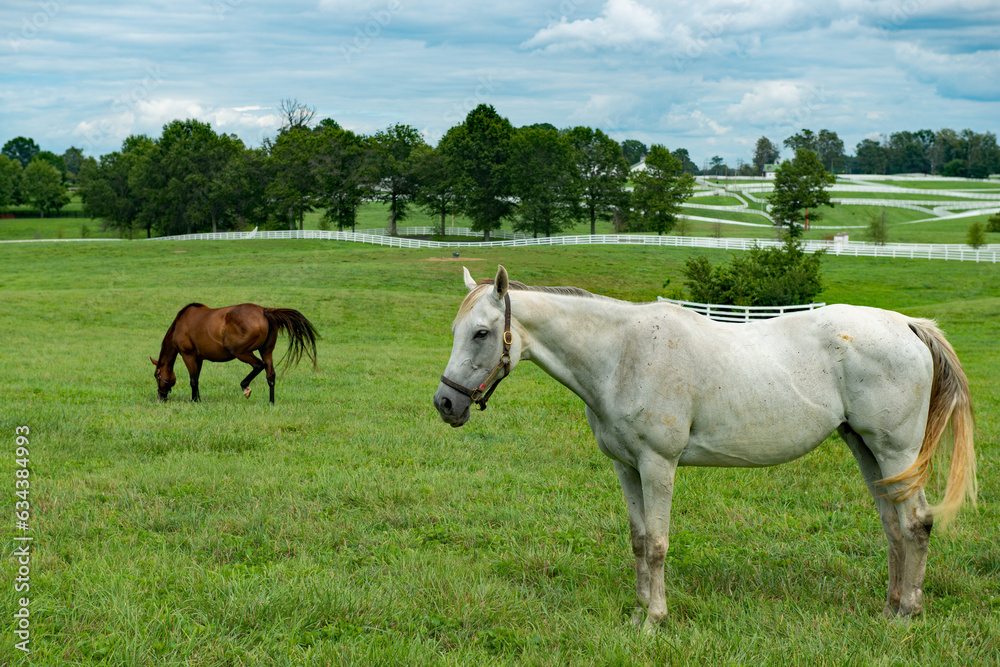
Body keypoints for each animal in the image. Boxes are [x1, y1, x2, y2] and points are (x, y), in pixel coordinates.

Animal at [151, 303, 318, 404]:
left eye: (157, 376)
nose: (160, 397)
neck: (181, 324)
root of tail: (264, 311)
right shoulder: (199, 358)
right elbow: (196, 378)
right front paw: (197, 398)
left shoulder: (188, 355)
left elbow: (193, 380)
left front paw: (195, 400)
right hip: (266, 351)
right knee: (270, 375)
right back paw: (271, 402)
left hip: (241, 352)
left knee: (259, 365)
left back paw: (245, 387)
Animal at [433, 265, 976, 630]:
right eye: (457, 331)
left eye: (481, 333)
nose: (445, 403)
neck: (621, 355)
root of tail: (906, 325)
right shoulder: (627, 468)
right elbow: (637, 541)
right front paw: (638, 612)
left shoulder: (658, 465)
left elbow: (657, 544)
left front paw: (655, 620)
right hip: (867, 449)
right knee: (893, 526)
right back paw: (889, 607)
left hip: (896, 450)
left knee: (916, 523)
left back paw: (908, 612)